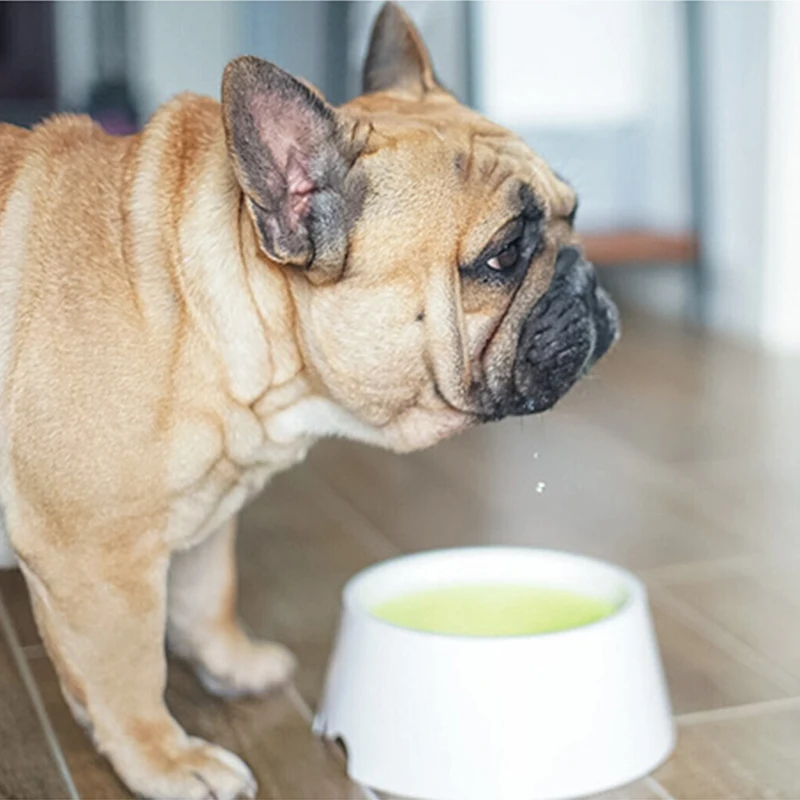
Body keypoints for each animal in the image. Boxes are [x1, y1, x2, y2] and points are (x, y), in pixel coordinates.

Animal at [0, 3, 620, 796]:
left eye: (576, 213)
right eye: (502, 256)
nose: (587, 282)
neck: (192, 299)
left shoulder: (205, 511)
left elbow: (206, 595)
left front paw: (232, 664)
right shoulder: (95, 558)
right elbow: (127, 671)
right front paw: (166, 759)